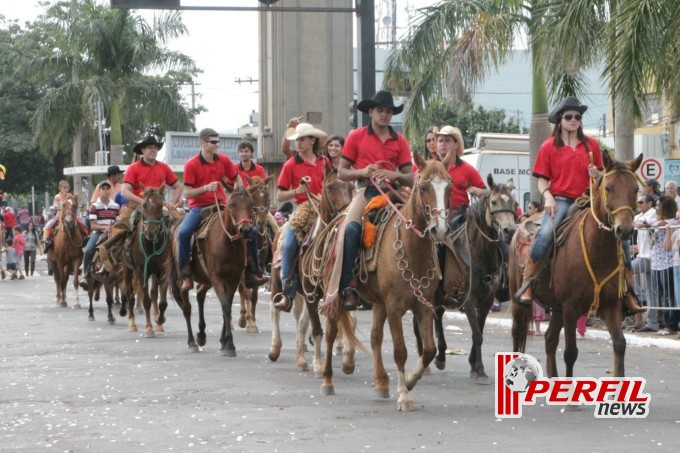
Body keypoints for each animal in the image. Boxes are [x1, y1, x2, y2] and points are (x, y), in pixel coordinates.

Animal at [169, 184, 256, 354]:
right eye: (232, 204)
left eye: (251, 204)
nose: (246, 230)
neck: (227, 243)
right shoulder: (217, 278)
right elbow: (226, 307)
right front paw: (230, 345)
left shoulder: (233, 279)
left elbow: (226, 308)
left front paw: (224, 342)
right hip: (184, 278)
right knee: (187, 308)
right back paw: (192, 342)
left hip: (206, 278)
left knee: (200, 294)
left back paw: (201, 335)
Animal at [270, 161, 356, 372]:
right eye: (330, 187)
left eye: (351, 186)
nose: (346, 213)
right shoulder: (311, 293)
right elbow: (317, 330)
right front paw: (318, 364)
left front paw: (348, 359)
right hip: (277, 283)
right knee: (275, 310)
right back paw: (274, 349)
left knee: (301, 322)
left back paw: (301, 359)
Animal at [414, 176, 516, 382]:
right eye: (494, 202)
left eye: (513, 203)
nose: (509, 231)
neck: (479, 251)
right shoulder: (468, 300)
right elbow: (477, 334)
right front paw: (480, 369)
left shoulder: (486, 300)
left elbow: (480, 330)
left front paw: (473, 364)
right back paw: (424, 359)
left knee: (438, 315)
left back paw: (441, 355)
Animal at [510, 151, 644, 378]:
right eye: (608, 188)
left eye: (635, 189)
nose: (625, 230)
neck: (597, 251)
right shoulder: (571, 308)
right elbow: (571, 352)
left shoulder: (611, 305)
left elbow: (619, 344)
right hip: (520, 301)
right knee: (517, 334)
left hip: (556, 308)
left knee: (550, 339)